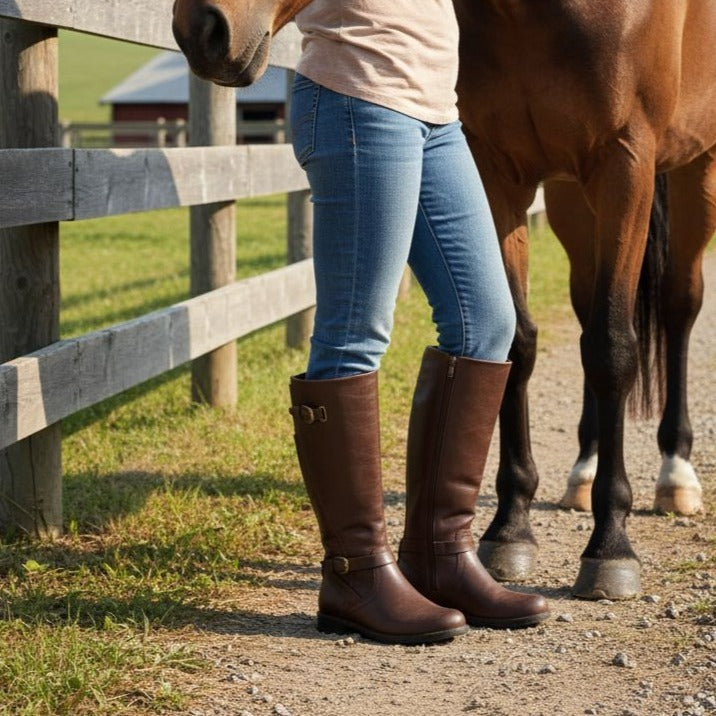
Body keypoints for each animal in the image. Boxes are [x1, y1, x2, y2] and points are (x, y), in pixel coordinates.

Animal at [172, 0, 716, 600]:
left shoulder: (625, 163)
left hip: (694, 170)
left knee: (678, 307)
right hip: (573, 196)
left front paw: (611, 547)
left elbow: (613, 350)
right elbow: (517, 345)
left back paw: (675, 473)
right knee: (585, 311)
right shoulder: (496, 170)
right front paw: (510, 531)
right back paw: (585, 468)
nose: (199, 28)